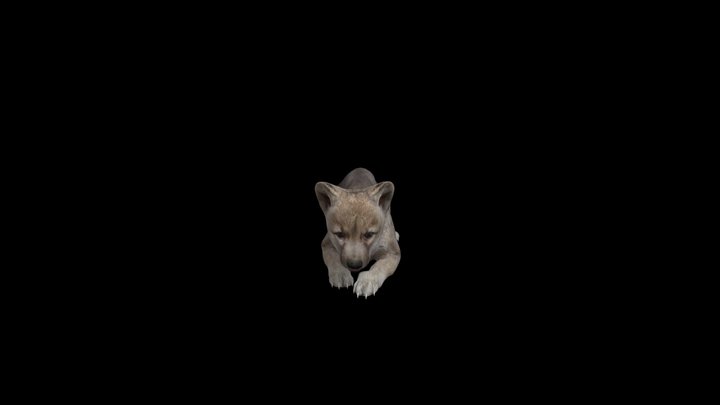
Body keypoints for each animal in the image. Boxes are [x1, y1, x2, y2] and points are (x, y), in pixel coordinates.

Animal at [315, 168, 401, 298]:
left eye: (369, 235)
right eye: (339, 234)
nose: (354, 265)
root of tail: (360, 168)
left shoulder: (393, 252)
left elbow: (380, 266)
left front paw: (367, 282)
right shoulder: (326, 243)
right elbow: (333, 259)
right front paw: (341, 276)